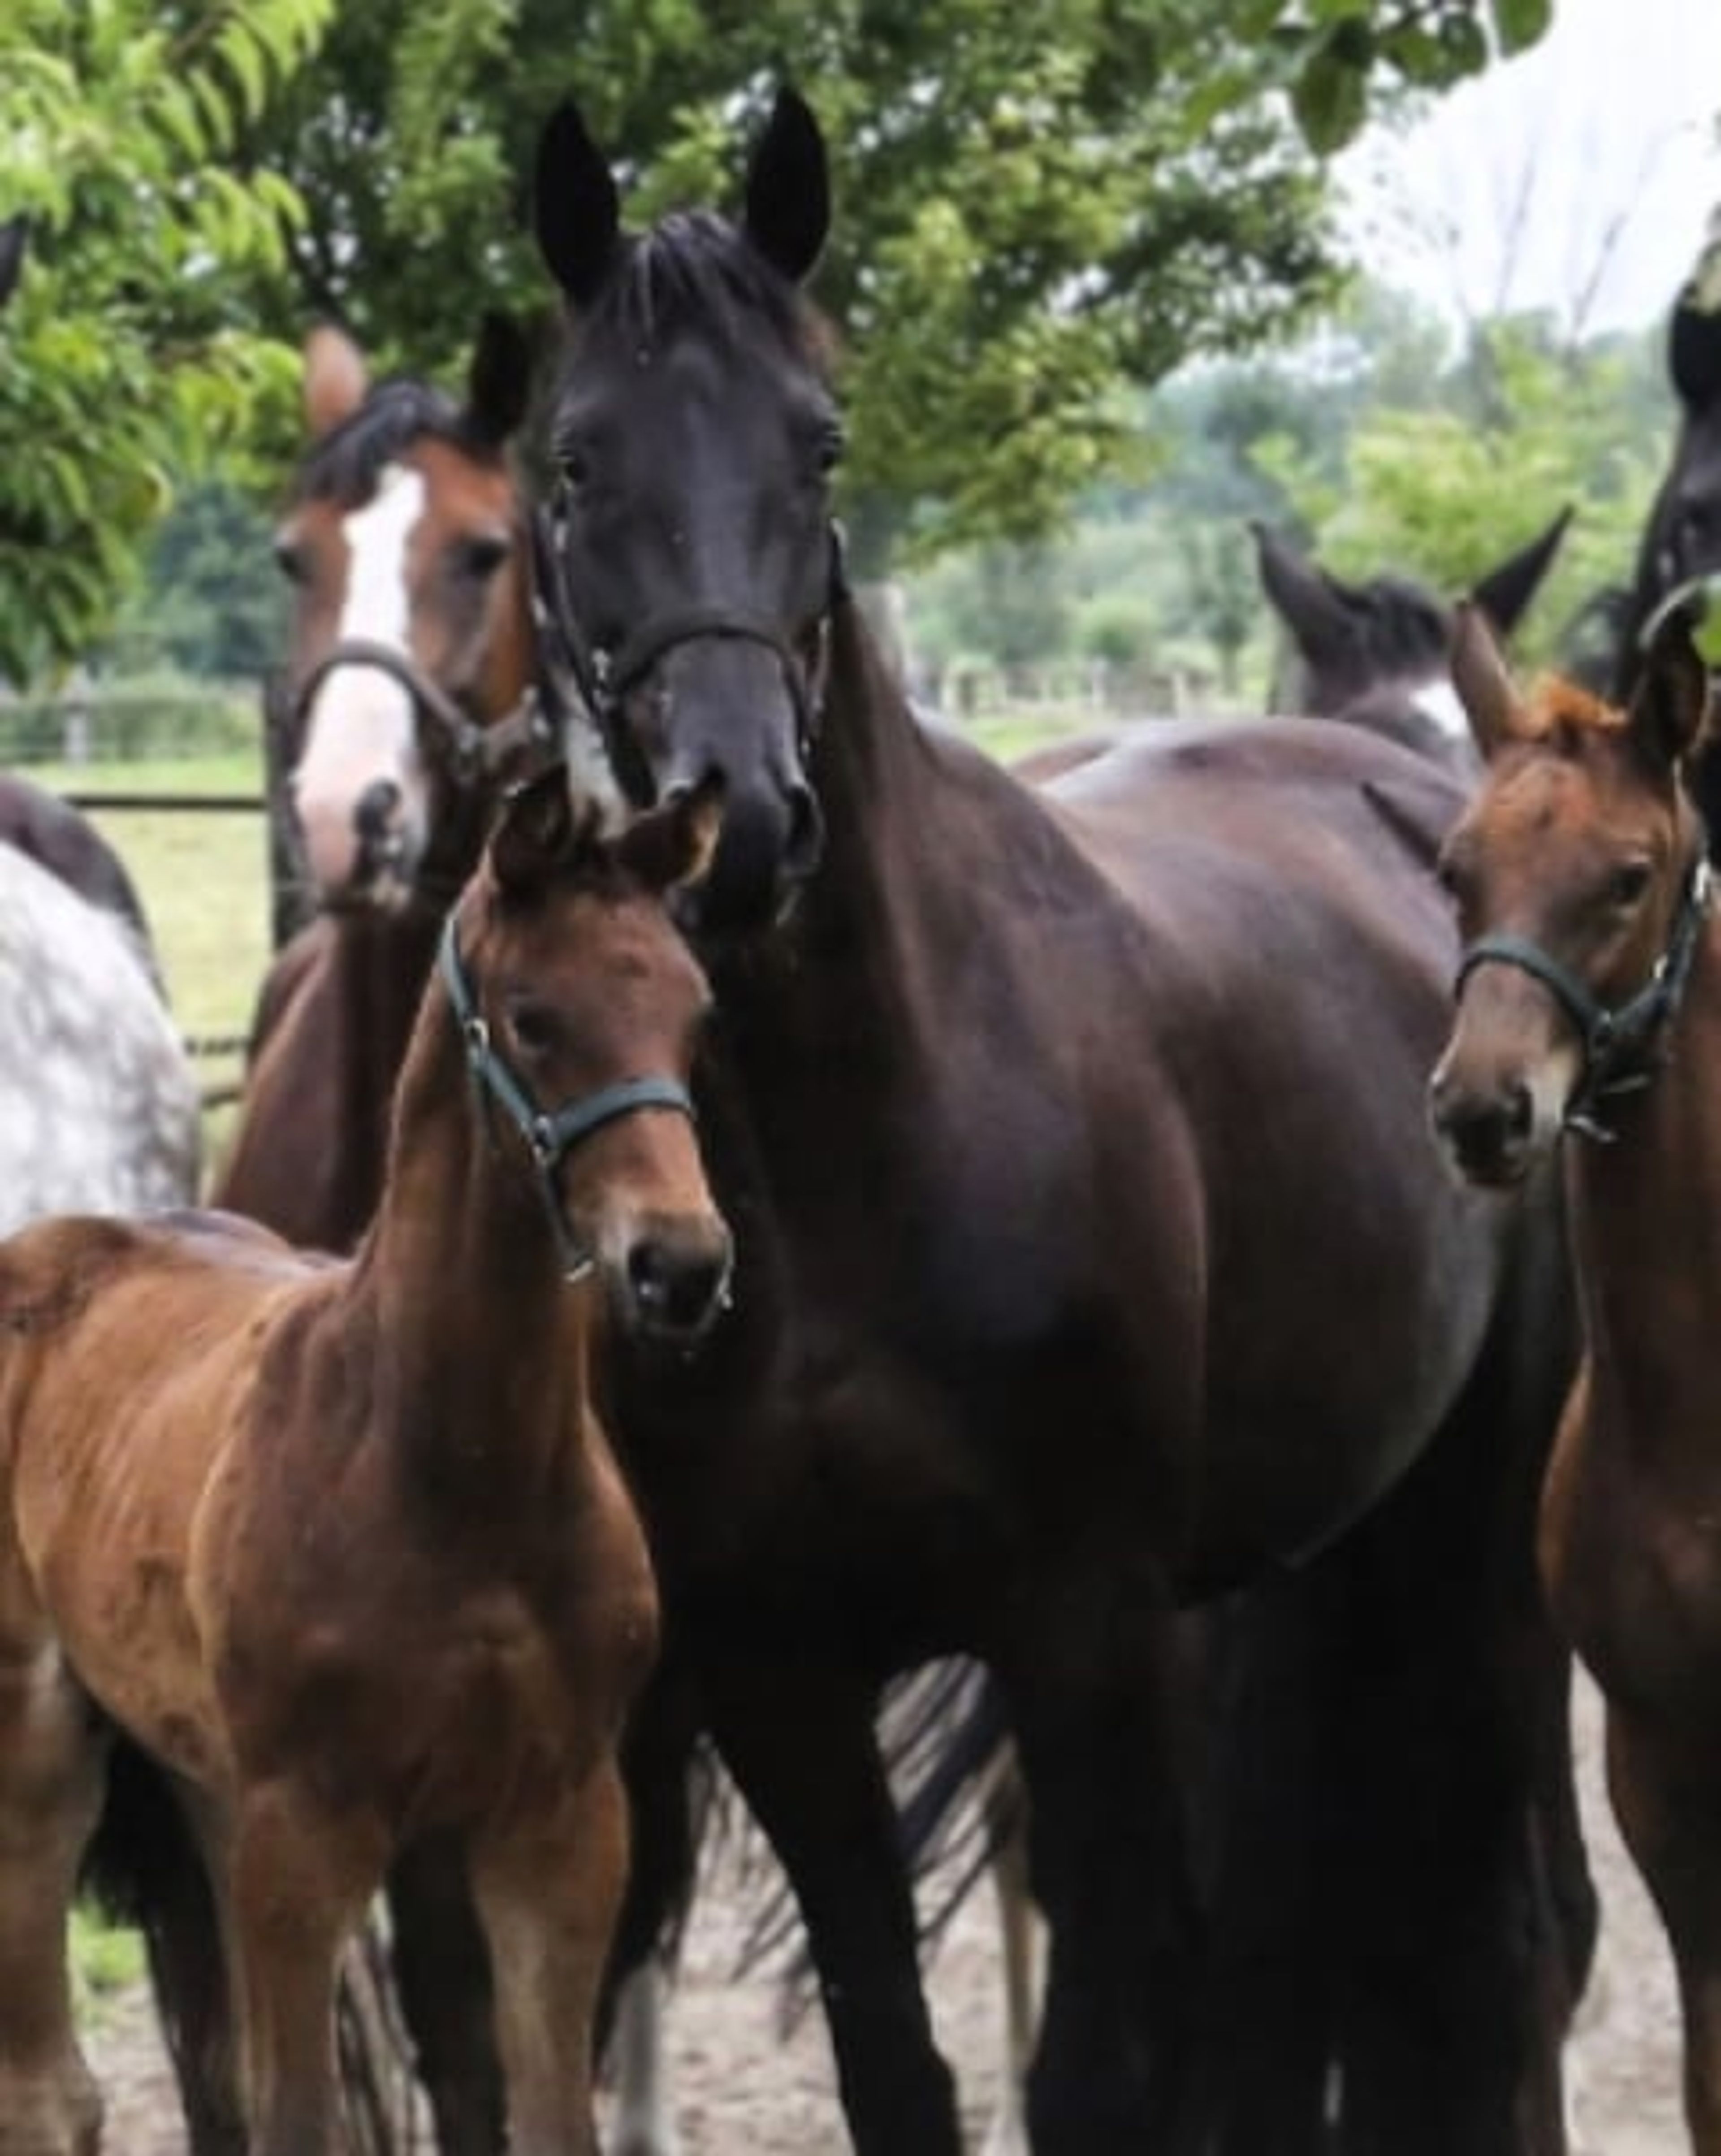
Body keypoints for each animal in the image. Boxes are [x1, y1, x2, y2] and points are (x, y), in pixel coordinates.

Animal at [0, 768, 731, 2156]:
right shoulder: (312, 1830)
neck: (449, 1469)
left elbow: (543, 2114)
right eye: (533, 1017)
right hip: (46, 1740)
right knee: (53, 2091)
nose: (680, 1264)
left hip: (202, 1780)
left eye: (693, 1008)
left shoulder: (559, 1821)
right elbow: (301, 2113)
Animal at [516, 86, 1587, 2154]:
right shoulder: (785, 1673)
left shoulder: (1086, 1638)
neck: (863, 1146)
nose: (737, 819)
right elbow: (901, 2056)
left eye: (821, 439)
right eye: (574, 457)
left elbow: (1104, 2055)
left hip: (1475, 1549)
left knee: (1497, 1937)